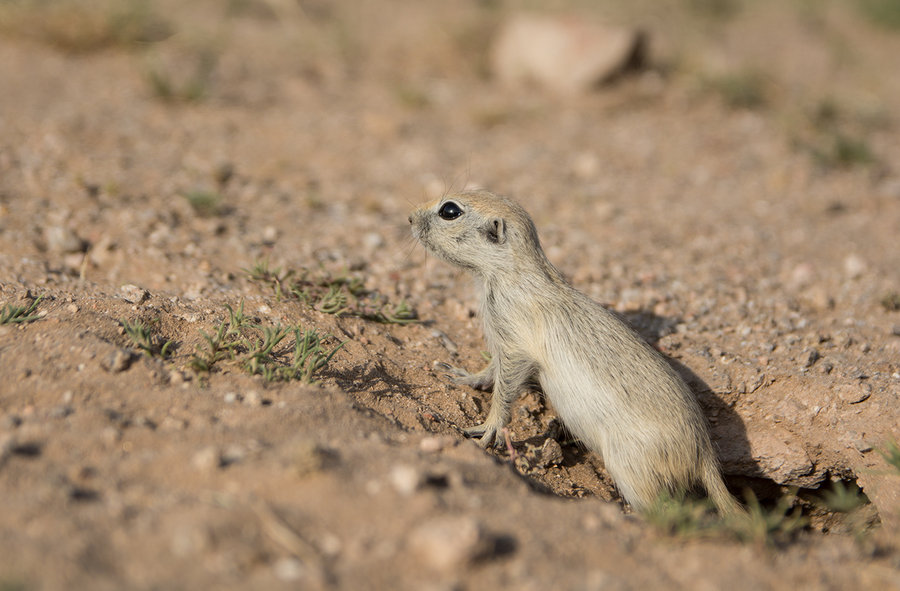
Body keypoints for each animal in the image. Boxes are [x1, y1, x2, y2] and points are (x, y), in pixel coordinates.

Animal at [412, 190, 740, 512]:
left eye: (450, 211)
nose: (410, 217)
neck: (510, 275)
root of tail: (704, 455)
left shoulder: (516, 344)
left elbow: (505, 390)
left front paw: (488, 429)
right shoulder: (502, 341)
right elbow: (491, 370)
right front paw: (460, 375)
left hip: (632, 471)